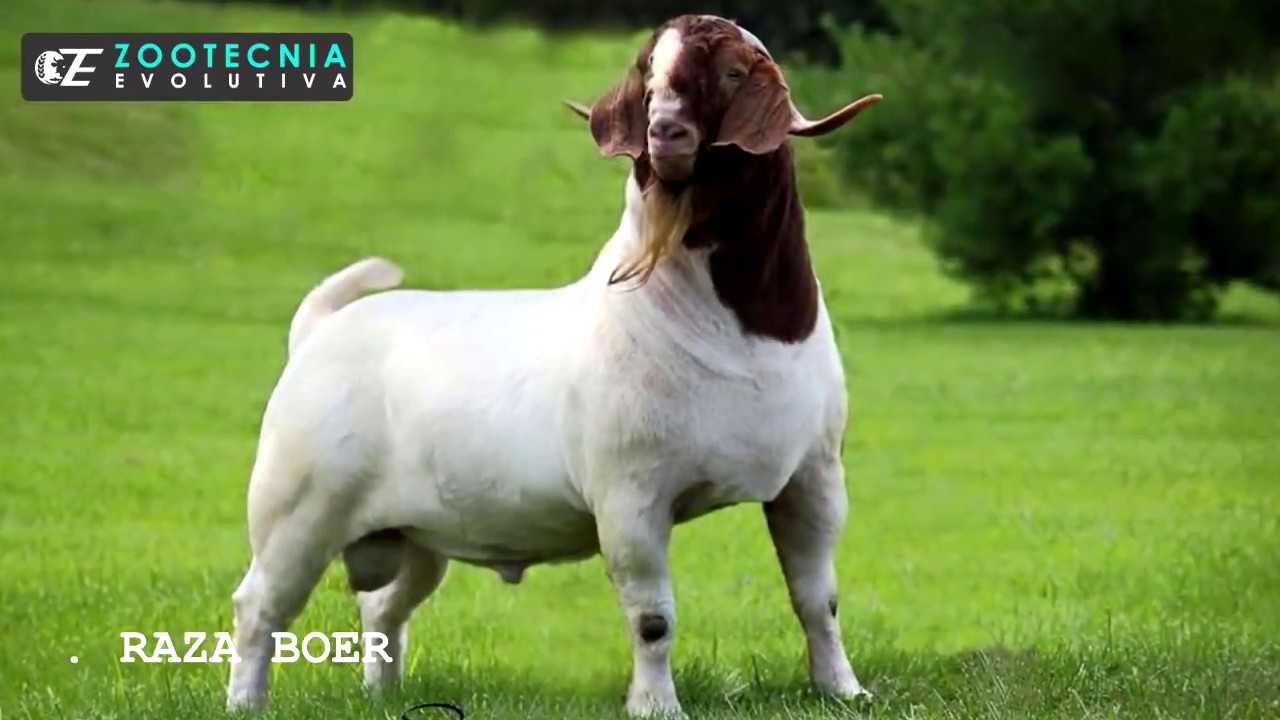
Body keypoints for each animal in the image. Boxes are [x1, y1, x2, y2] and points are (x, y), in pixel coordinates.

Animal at [224, 13, 881, 718]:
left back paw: (383, 693)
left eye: (733, 72)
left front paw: (843, 689)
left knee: (381, 608)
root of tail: (318, 330)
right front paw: (656, 704)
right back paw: (246, 703)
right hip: (297, 508)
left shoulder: (812, 479)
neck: (737, 334)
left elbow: (819, 599)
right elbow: (653, 617)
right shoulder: (630, 496)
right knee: (259, 606)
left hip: (418, 536)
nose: (665, 132)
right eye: (647, 77)